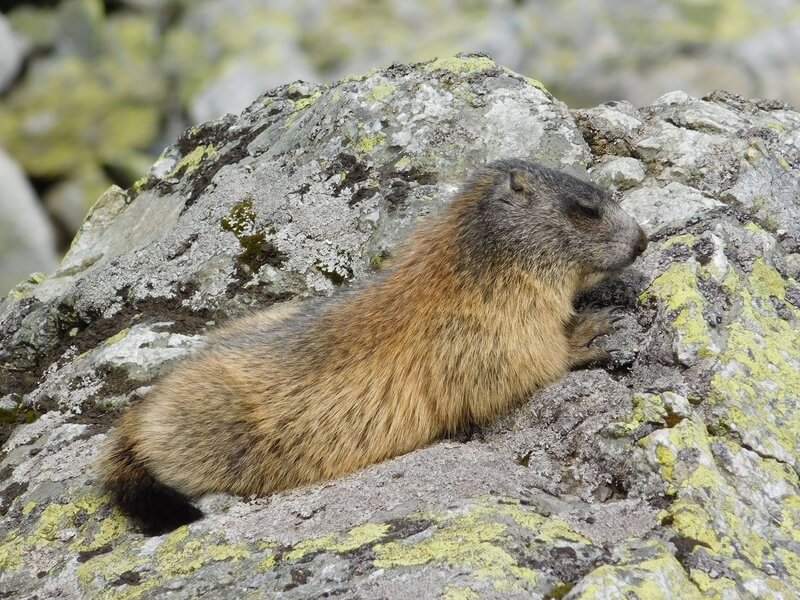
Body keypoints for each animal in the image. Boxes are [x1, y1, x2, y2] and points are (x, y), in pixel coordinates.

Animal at [97, 159, 648, 534]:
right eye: (586, 210)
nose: (644, 240)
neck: (481, 269)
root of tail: (138, 416)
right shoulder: (486, 325)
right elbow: (515, 365)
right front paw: (589, 332)